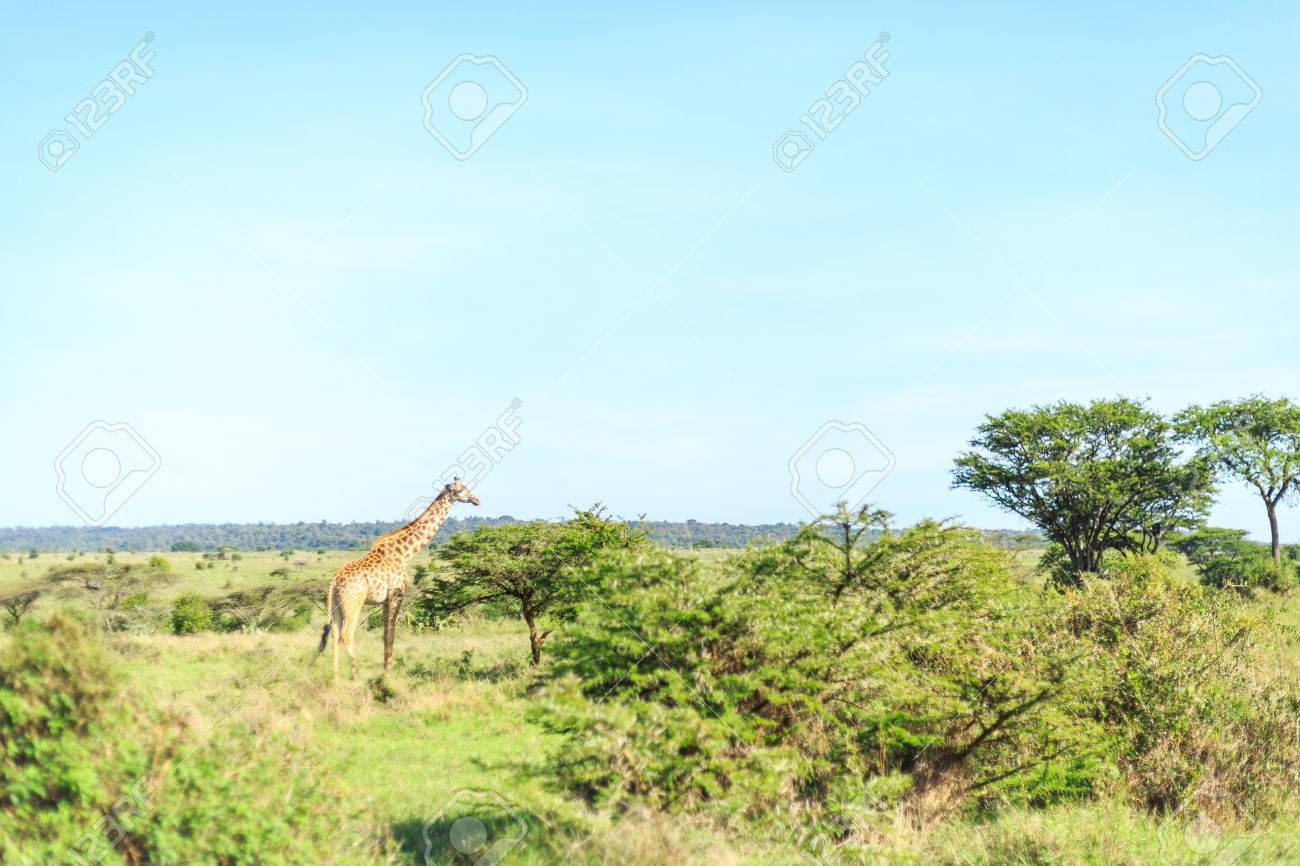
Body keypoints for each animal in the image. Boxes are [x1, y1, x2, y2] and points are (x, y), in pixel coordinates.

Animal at [317, 478, 480, 676]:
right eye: (462, 489)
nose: (477, 500)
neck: (405, 554)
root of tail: (334, 582)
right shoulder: (397, 594)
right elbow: (391, 635)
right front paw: (388, 673)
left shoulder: (386, 600)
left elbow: (385, 635)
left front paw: (385, 670)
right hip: (353, 602)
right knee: (346, 634)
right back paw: (354, 677)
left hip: (335, 605)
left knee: (334, 634)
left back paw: (336, 676)